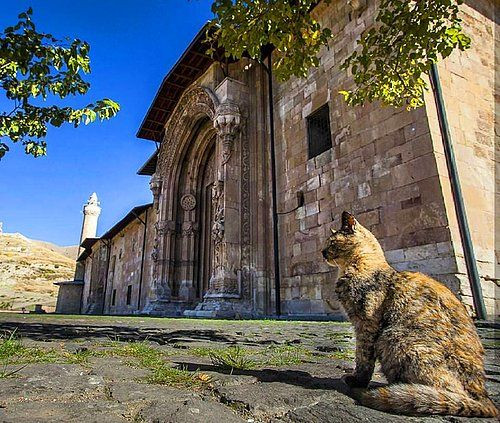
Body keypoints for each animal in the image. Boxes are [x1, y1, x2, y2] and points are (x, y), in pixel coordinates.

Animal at [322, 211, 498, 418]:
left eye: (331, 242)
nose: (322, 252)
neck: (364, 263)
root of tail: (484, 398)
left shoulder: (366, 323)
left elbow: (363, 358)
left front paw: (358, 381)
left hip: (393, 338)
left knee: (447, 392)